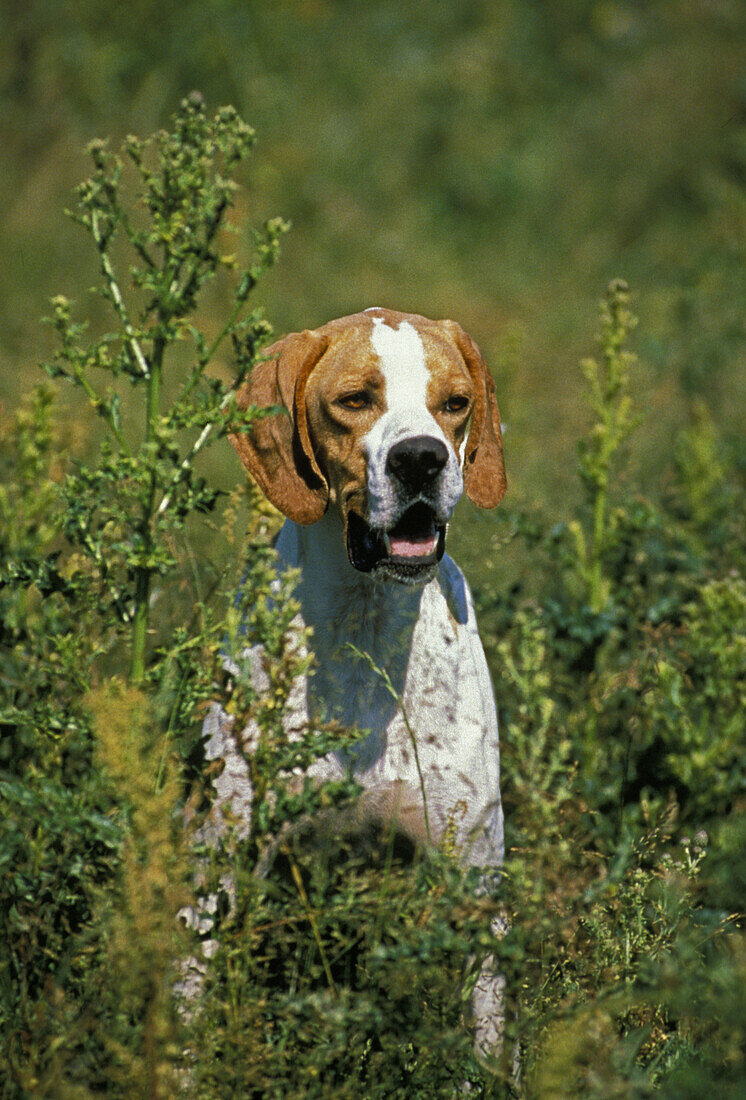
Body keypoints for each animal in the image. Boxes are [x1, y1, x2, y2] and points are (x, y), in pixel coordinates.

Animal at [195, 305, 508, 1060]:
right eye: (354, 401)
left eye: (455, 402)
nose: (422, 458)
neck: (366, 620)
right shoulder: (224, 866)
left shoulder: (471, 874)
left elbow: (484, 1044)